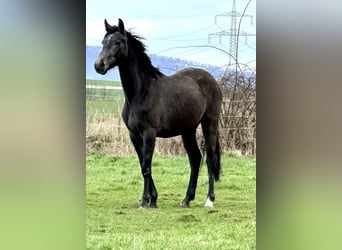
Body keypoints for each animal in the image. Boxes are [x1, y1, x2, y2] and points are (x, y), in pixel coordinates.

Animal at [94, 18, 222, 208]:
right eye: (103, 42)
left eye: (118, 42)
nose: (98, 65)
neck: (140, 93)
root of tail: (212, 80)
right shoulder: (134, 136)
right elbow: (143, 165)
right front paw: (151, 198)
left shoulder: (149, 134)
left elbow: (146, 166)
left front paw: (146, 202)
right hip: (188, 130)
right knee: (195, 159)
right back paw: (186, 199)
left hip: (209, 124)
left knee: (210, 159)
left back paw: (209, 200)